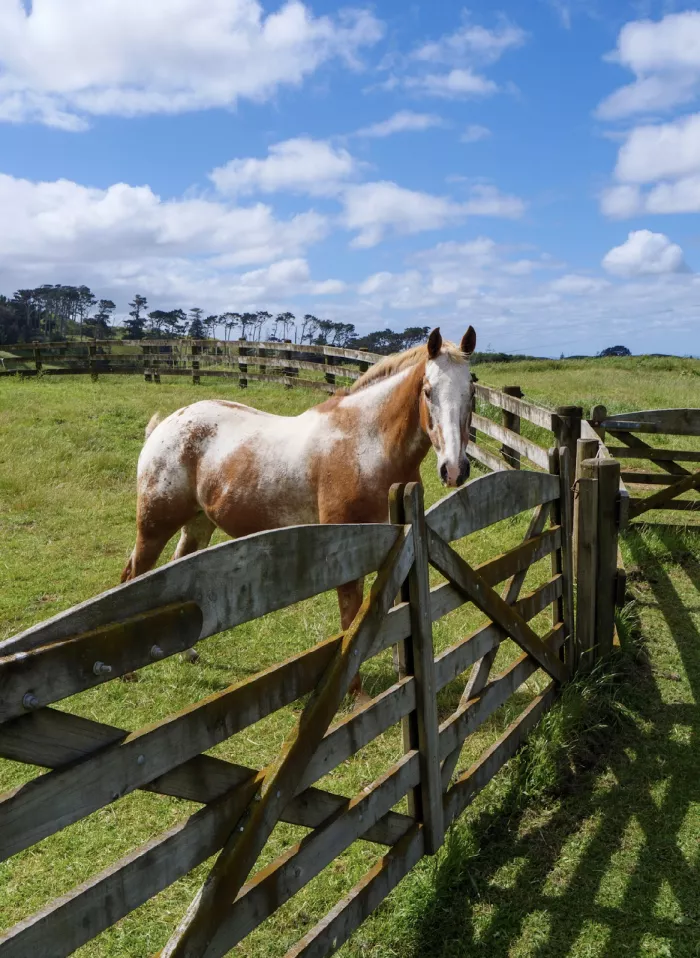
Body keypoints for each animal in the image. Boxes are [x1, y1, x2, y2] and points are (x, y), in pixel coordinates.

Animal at [121, 325, 477, 696]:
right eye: (428, 391)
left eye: (472, 391)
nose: (454, 470)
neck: (365, 445)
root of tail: (163, 428)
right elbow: (350, 619)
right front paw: (356, 694)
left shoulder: (395, 545)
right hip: (154, 526)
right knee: (133, 577)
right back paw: (128, 674)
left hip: (198, 525)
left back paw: (188, 654)